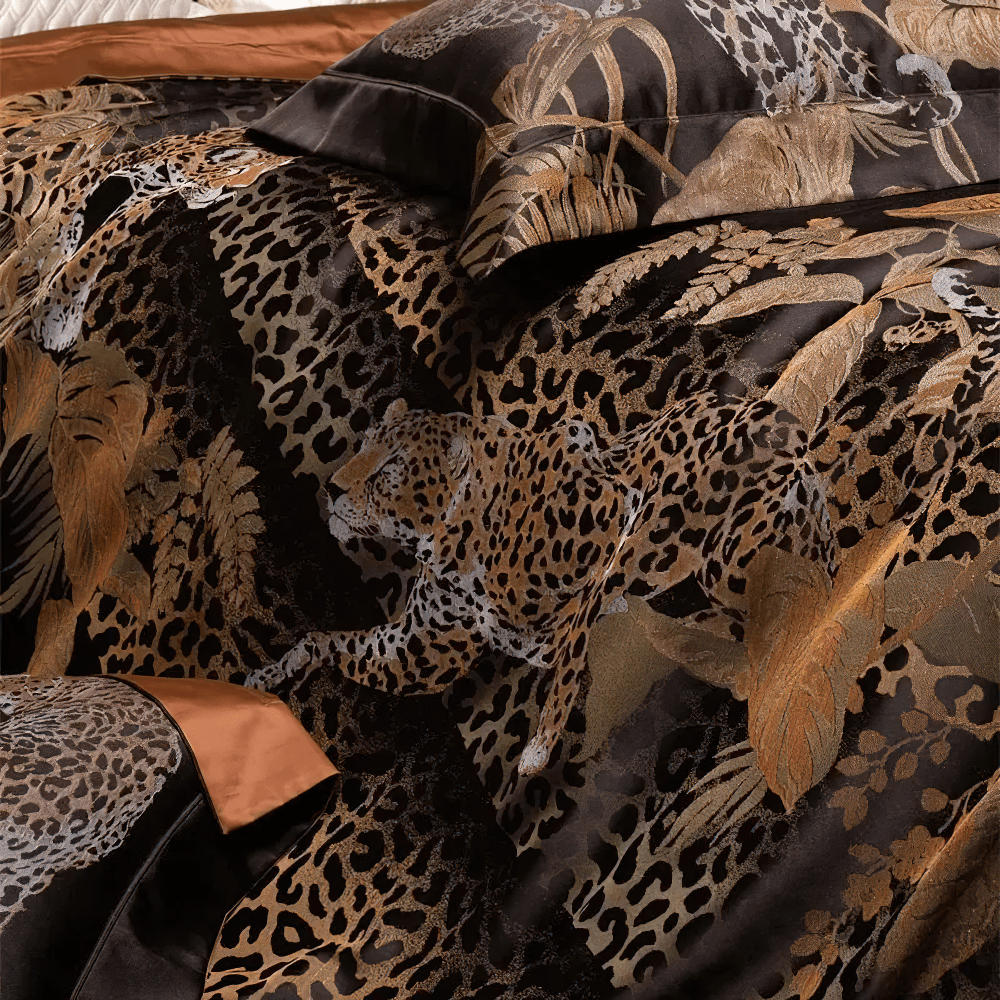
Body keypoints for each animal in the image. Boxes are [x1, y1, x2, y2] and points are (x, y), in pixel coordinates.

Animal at [248, 392, 834, 776]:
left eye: (389, 468)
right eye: (362, 446)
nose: (330, 487)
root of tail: (797, 436)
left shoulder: (615, 509)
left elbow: (576, 629)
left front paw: (538, 747)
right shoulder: (418, 651)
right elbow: (330, 643)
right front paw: (270, 676)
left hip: (719, 552)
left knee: (793, 598)